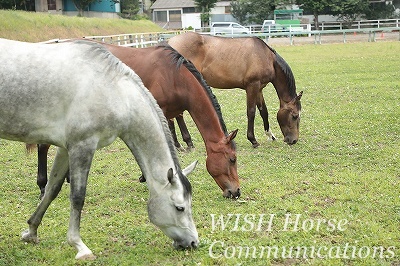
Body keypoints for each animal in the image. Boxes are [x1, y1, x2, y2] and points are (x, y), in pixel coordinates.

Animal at [0, 39, 198, 260]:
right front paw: (79, 246)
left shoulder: (65, 148)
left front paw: (31, 231)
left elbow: (52, 189)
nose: (193, 242)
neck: (114, 90)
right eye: (180, 208)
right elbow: (78, 197)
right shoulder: (82, 146)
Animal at [169, 32, 304, 148]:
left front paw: (270, 136)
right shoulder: (252, 86)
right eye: (295, 116)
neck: (266, 57)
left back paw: (180, 144)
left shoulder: (259, 88)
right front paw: (253, 140)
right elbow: (251, 112)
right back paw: (185, 142)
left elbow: (263, 111)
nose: (293, 140)